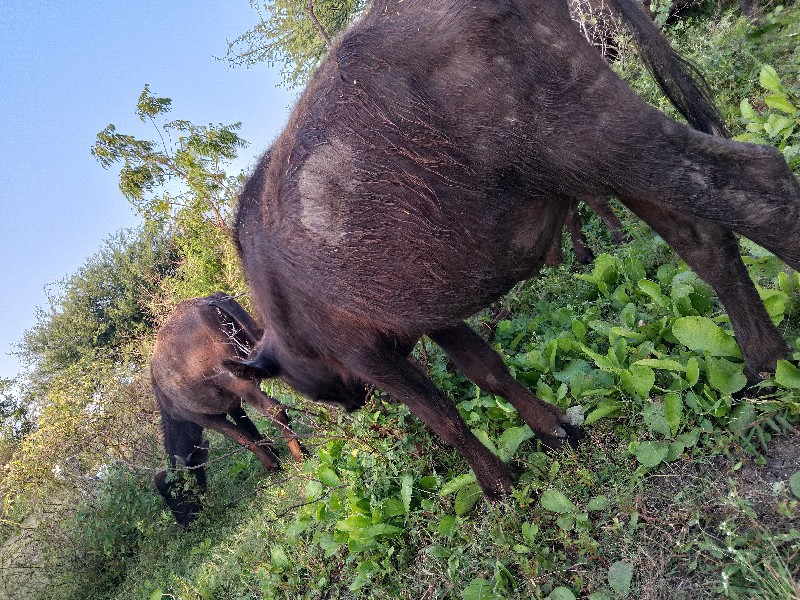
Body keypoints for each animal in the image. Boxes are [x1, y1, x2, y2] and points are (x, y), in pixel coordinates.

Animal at [152, 292, 304, 528]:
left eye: (176, 492)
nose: (185, 524)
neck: (167, 401)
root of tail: (205, 302)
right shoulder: (233, 406)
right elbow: (250, 430)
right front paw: (275, 452)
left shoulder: (206, 418)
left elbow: (243, 439)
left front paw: (273, 465)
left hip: (236, 380)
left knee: (273, 408)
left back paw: (299, 457)